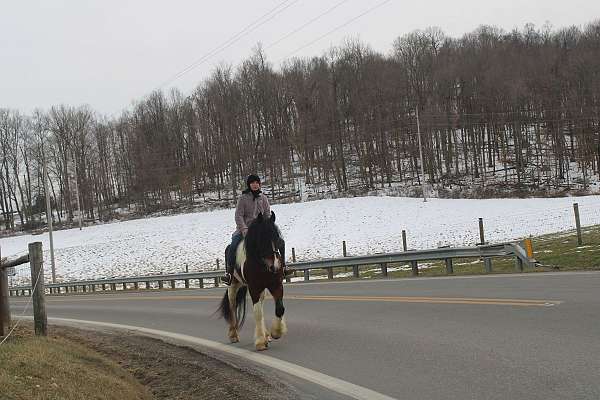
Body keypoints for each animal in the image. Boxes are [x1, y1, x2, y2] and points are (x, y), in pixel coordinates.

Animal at [218, 211, 288, 352]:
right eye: (262, 238)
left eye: (277, 238)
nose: (275, 266)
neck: (262, 263)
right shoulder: (254, 288)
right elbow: (257, 313)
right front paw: (260, 342)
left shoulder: (276, 285)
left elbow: (280, 308)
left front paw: (275, 332)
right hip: (233, 286)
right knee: (232, 306)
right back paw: (233, 334)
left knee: (260, 304)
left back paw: (266, 335)